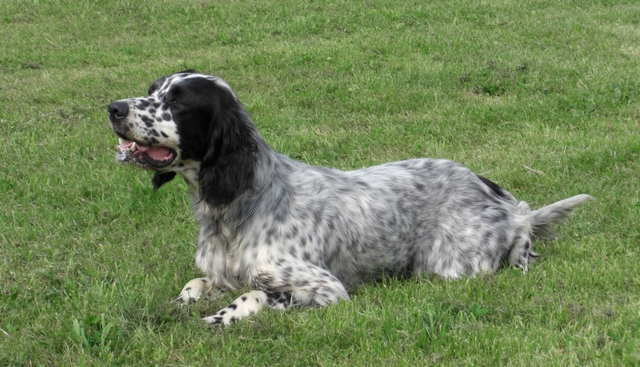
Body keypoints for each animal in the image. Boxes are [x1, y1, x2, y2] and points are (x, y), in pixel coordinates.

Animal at [107, 70, 592, 326]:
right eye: (152, 91)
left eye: (177, 102)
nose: (113, 108)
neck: (236, 208)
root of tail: (506, 204)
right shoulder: (220, 273)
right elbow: (195, 284)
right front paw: (178, 305)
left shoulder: (326, 290)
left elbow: (255, 295)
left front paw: (219, 318)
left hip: (450, 267)